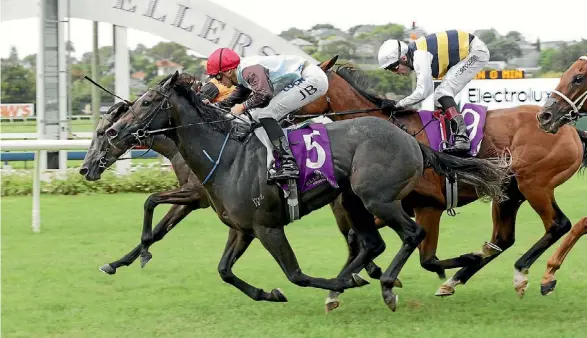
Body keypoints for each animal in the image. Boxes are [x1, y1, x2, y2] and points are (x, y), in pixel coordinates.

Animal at [300, 58, 584, 308]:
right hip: (508, 194)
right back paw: (458, 279)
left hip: (534, 184)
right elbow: (354, 235)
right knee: (502, 239)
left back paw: (522, 274)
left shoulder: (428, 205)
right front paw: (352, 280)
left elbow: (426, 258)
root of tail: (570, 129)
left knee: (558, 224)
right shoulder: (394, 204)